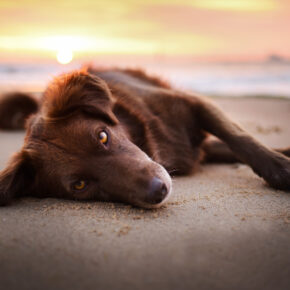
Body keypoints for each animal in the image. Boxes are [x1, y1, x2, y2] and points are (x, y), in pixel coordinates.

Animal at [0, 67, 288, 208]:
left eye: (102, 136)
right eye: (80, 185)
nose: (158, 191)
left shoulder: (196, 105)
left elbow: (240, 138)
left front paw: (280, 168)